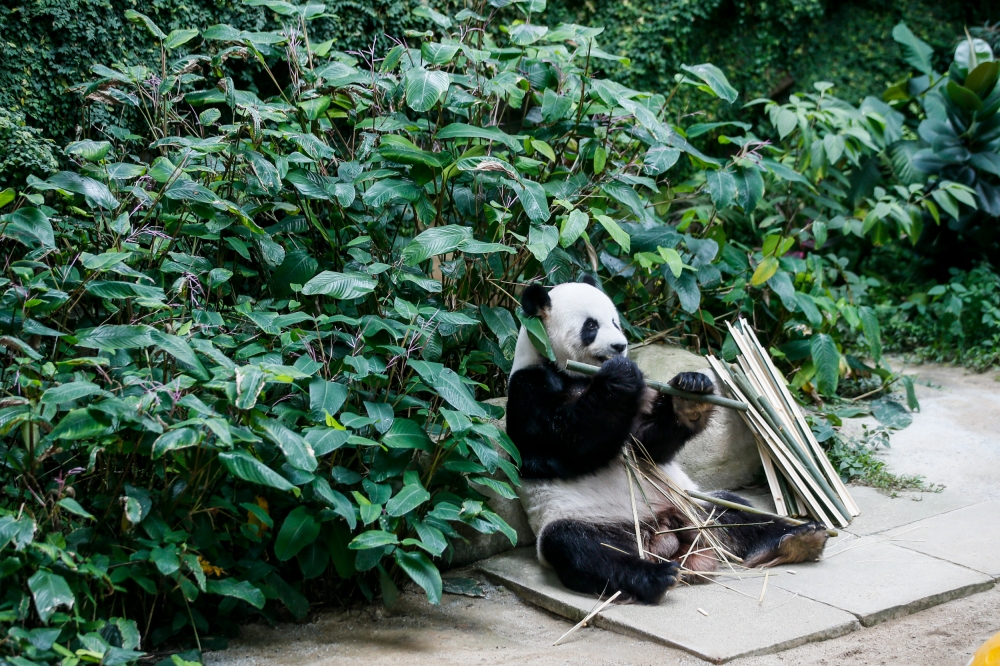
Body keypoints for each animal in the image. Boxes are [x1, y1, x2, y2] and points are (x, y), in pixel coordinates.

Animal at [505, 278, 829, 604]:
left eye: (615, 321)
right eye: (591, 326)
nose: (620, 346)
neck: (576, 373)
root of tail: (663, 537)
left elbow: (648, 446)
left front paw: (690, 394)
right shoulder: (529, 388)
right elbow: (561, 444)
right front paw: (621, 375)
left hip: (692, 503)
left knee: (737, 513)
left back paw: (798, 538)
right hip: (588, 520)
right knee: (583, 548)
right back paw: (657, 576)